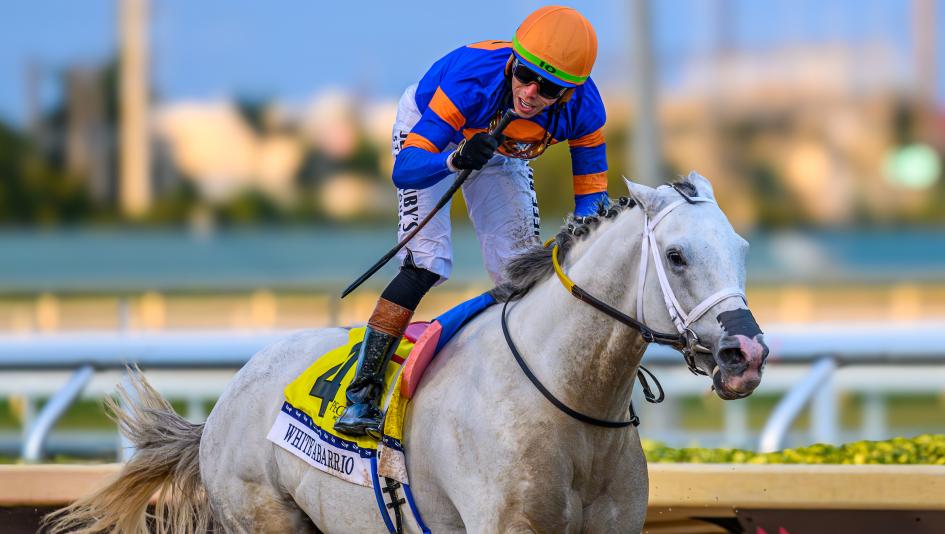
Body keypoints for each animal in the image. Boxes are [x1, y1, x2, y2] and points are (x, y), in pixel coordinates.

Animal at [47, 172, 768, 534]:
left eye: (739, 248)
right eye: (676, 255)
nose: (747, 354)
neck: (567, 398)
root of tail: (222, 407)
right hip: (263, 517)